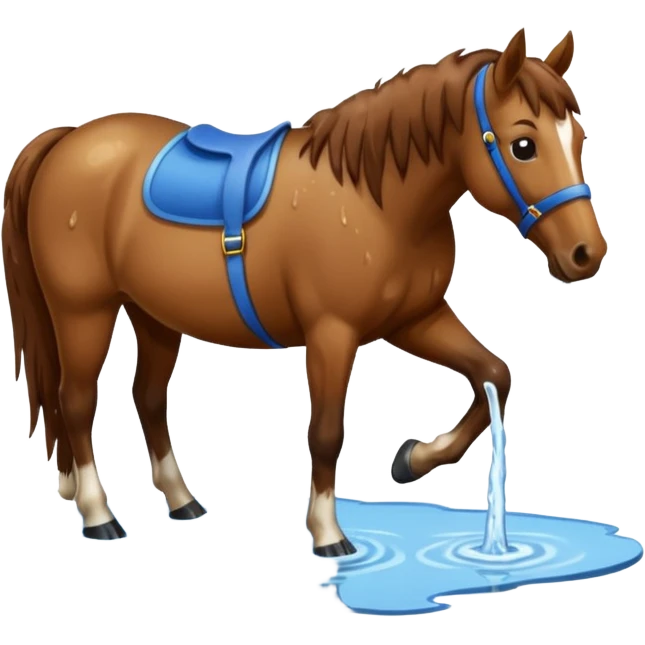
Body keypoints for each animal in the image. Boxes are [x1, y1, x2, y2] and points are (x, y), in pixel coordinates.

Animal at [2, 27, 606, 550]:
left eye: (579, 138)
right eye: (523, 145)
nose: (587, 254)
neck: (375, 200)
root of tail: (67, 139)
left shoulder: (415, 319)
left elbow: (494, 375)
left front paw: (412, 459)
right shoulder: (333, 335)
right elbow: (326, 432)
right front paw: (329, 533)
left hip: (154, 316)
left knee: (147, 398)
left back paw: (180, 501)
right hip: (83, 312)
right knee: (76, 402)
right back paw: (98, 514)